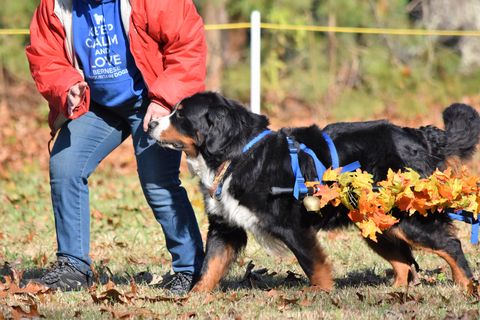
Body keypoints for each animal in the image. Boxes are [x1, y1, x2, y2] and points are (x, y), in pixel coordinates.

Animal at [148, 91, 478, 294]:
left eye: (180, 116)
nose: (150, 123)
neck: (238, 153)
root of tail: (419, 136)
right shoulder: (225, 227)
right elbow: (209, 267)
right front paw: (194, 297)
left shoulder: (293, 226)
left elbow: (313, 264)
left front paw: (321, 293)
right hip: (374, 223)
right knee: (403, 261)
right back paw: (394, 291)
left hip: (407, 217)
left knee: (450, 246)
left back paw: (465, 286)